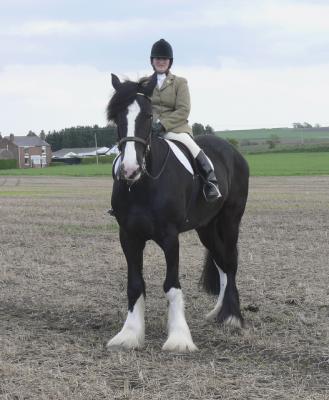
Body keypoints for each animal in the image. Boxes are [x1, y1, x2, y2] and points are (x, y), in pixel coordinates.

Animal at [106, 73, 247, 352]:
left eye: (148, 116)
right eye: (116, 116)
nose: (130, 170)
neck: (143, 185)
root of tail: (232, 151)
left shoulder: (170, 237)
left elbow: (171, 286)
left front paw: (179, 339)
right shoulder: (128, 236)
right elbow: (135, 284)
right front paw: (129, 334)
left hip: (230, 221)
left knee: (230, 261)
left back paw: (232, 317)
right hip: (207, 227)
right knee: (221, 262)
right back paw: (219, 312)